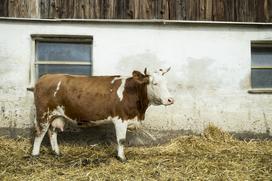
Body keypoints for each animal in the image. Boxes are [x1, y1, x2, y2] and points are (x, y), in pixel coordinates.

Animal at [30, 68, 173, 161]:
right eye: (155, 83)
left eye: (166, 83)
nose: (170, 100)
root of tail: (46, 77)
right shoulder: (121, 118)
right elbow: (121, 140)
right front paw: (122, 157)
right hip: (43, 113)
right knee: (40, 133)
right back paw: (35, 155)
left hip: (56, 115)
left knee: (52, 132)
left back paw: (57, 153)